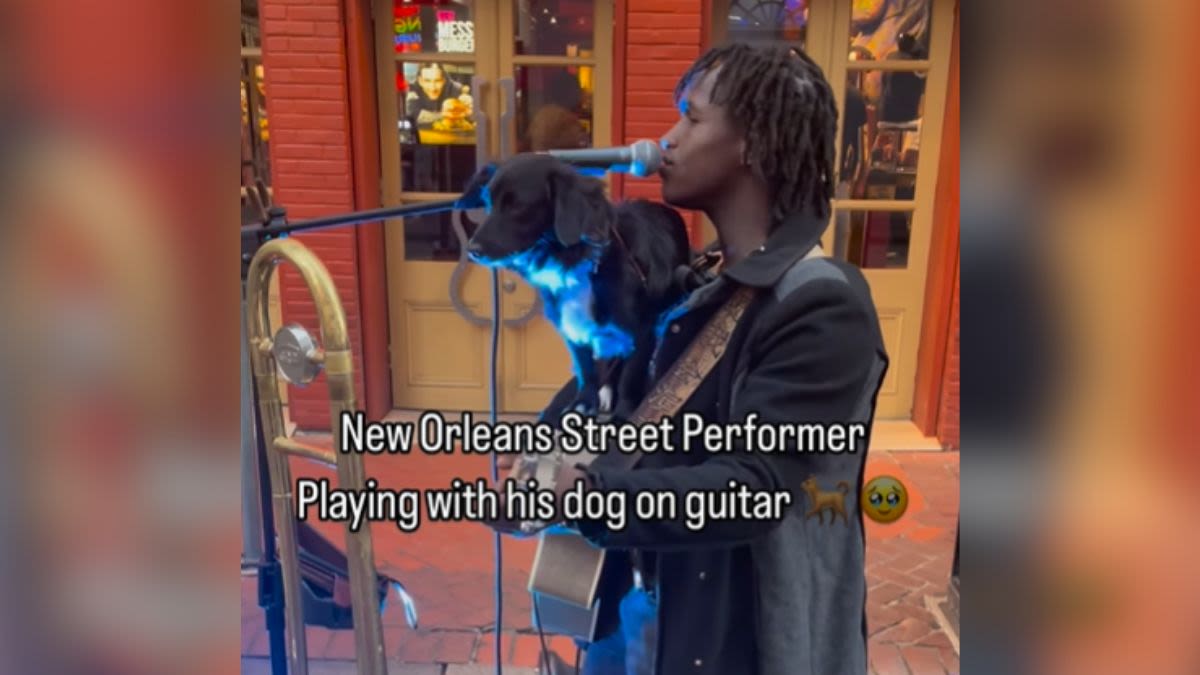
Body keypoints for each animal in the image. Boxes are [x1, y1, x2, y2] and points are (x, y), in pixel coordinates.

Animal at [468, 154, 696, 413]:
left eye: (517, 205)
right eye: (489, 203)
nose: (472, 250)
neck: (578, 261)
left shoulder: (642, 329)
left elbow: (630, 376)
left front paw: (625, 411)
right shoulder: (574, 327)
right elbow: (586, 369)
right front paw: (585, 401)